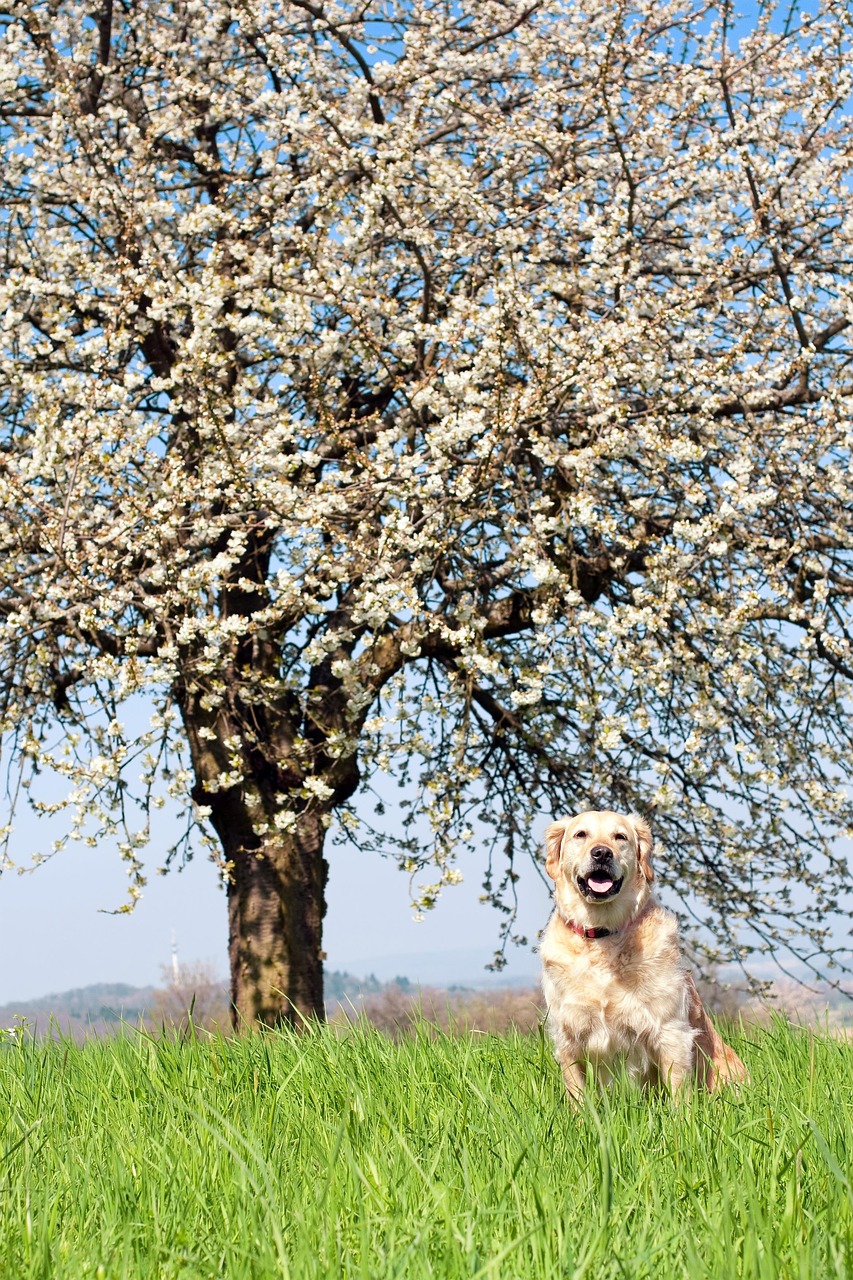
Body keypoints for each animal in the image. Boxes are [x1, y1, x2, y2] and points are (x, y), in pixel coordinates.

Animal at [537, 808, 742, 1100]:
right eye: (581, 834)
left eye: (620, 837)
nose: (602, 853)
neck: (603, 933)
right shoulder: (569, 1035)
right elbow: (577, 1096)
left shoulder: (670, 1031)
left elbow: (679, 1093)